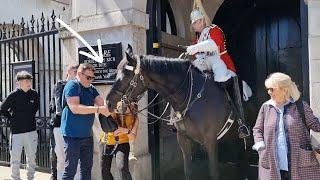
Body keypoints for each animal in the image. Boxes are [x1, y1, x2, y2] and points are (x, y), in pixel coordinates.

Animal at [106, 45, 239, 180]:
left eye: (126, 75)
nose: (109, 102)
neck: (192, 96)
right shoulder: (183, 138)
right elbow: (188, 170)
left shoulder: (211, 141)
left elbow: (214, 173)